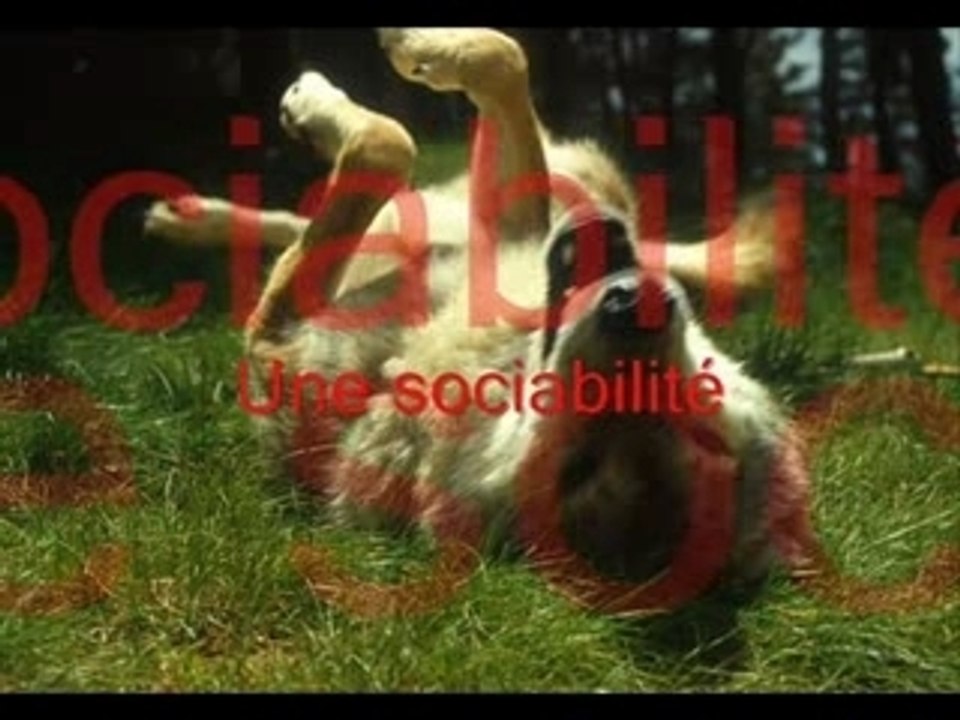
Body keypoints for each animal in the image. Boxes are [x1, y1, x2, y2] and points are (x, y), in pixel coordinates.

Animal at [145, 28, 810, 614]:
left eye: (578, 470)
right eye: (703, 405)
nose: (635, 308)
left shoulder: (275, 338)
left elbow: (385, 144)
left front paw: (325, 101)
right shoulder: (511, 219)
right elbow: (498, 60)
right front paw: (410, 53)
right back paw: (188, 215)